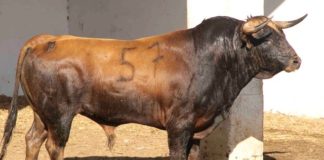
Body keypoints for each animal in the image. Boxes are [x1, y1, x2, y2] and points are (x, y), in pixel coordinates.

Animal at [0, 14, 306, 159]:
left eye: (282, 34)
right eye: (266, 38)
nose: (296, 60)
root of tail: (47, 38)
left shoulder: (196, 128)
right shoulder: (179, 126)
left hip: (42, 114)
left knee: (32, 140)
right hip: (59, 116)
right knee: (55, 147)